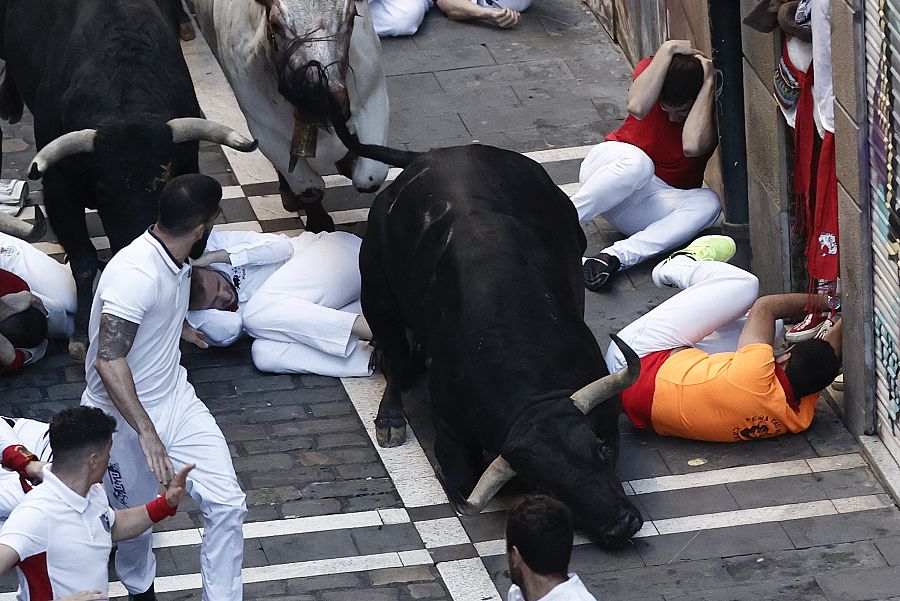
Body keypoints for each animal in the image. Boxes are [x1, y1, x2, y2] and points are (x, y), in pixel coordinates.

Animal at [358, 144, 648, 544]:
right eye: (545, 485)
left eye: (601, 451)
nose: (622, 525)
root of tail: (433, 153)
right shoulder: (452, 434)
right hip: (375, 293)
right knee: (394, 354)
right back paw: (390, 419)